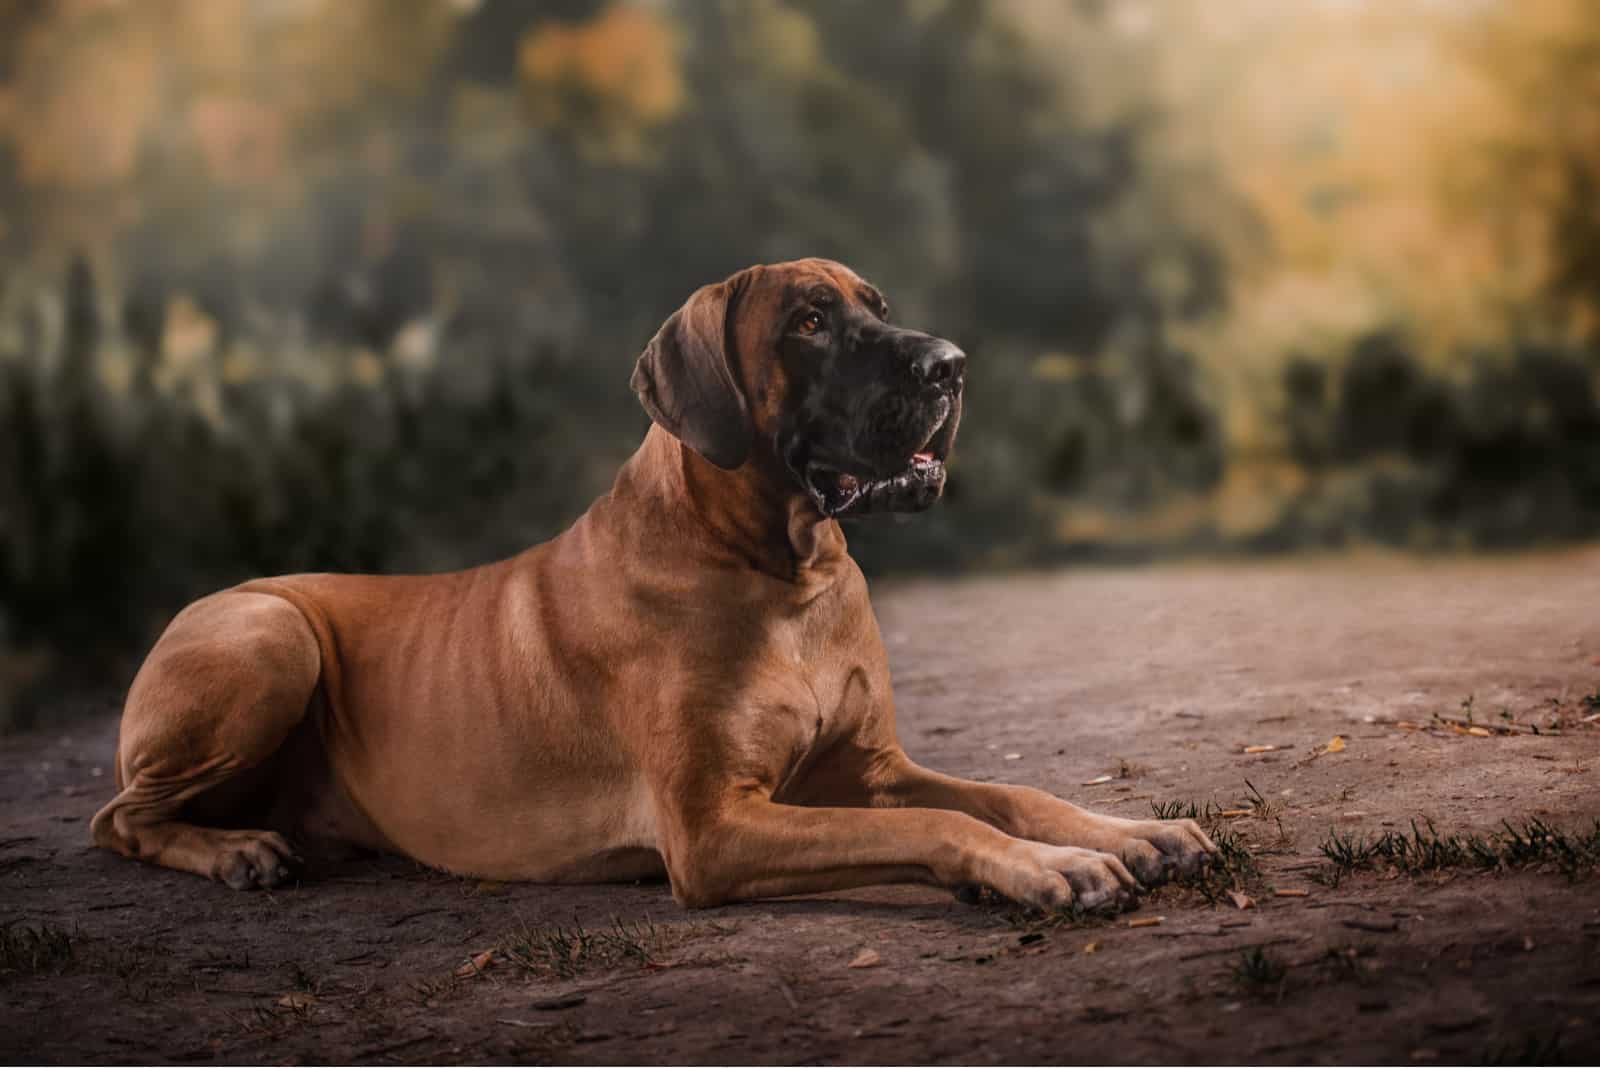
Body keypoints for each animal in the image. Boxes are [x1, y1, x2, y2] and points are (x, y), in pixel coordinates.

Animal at [90, 259, 1209, 908]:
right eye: (810, 322)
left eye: (879, 310)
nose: (951, 364)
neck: (779, 573)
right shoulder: (713, 832)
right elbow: (937, 823)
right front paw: (1051, 869)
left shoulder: (869, 768)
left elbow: (1006, 792)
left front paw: (1132, 831)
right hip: (267, 637)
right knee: (115, 819)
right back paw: (236, 852)